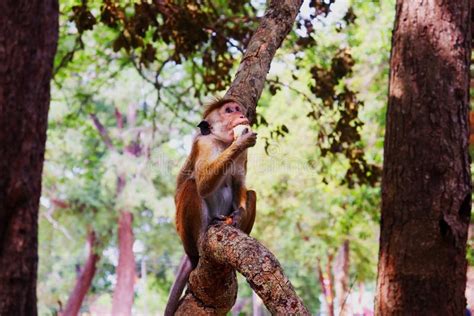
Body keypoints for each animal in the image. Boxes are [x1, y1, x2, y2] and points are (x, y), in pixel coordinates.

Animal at [165, 98, 258, 314]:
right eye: (229, 110)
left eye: (238, 109)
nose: (242, 115)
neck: (223, 142)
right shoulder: (204, 144)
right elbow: (203, 184)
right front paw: (240, 141)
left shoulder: (243, 157)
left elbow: (239, 183)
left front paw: (239, 215)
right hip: (186, 236)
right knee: (192, 186)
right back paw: (200, 242)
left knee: (251, 193)